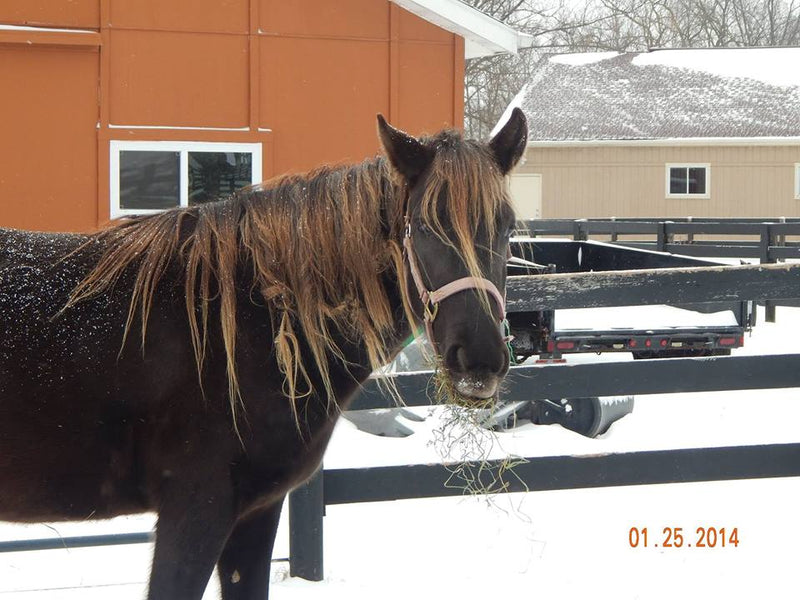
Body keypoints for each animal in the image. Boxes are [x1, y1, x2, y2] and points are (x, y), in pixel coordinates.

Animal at [0, 109, 528, 600]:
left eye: (506, 228)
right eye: (420, 226)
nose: (479, 359)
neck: (245, 323)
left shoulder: (256, 512)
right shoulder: (195, 509)